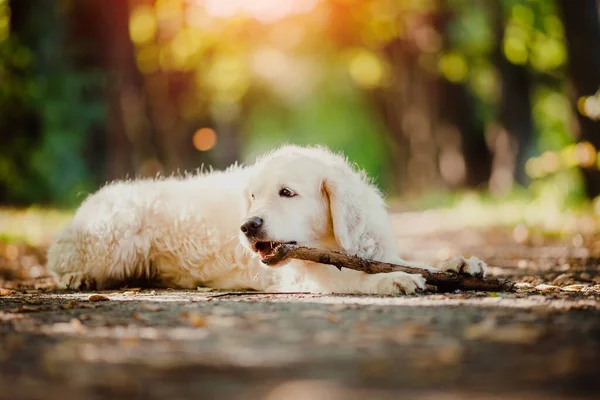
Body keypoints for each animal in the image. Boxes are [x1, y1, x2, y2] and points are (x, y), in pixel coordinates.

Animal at [48, 145, 488, 294]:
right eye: (253, 196)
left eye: (286, 193)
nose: (247, 227)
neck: (336, 241)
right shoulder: (306, 274)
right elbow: (352, 278)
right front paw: (389, 280)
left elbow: (413, 260)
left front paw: (456, 263)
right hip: (115, 231)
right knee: (64, 260)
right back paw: (75, 277)